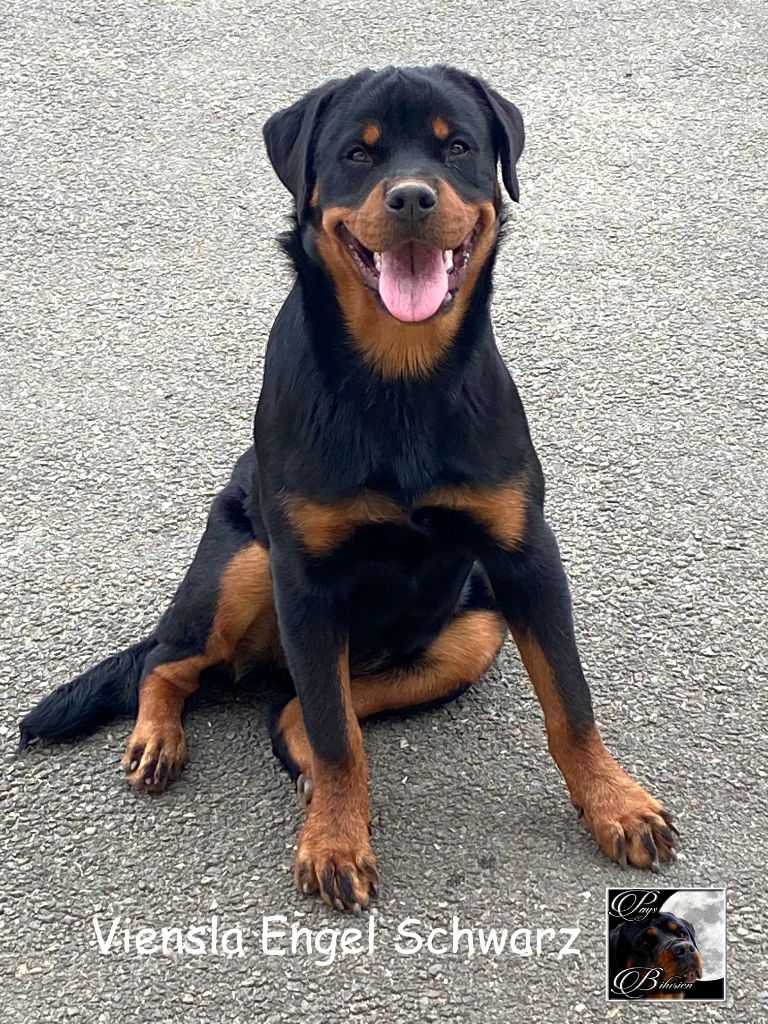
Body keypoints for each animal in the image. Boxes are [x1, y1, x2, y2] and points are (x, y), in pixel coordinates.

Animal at [20, 65, 678, 912]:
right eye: (357, 156)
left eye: (457, 148)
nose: (412, 198)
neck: (399, 377)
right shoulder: (305, 579)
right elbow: (339, 739)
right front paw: (335, 842)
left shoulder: (526, 557)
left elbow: (570, 701)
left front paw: (615, 803)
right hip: (245, 564)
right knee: (174, 661)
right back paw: (158, 737)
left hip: (472, 632)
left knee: (290, 709)